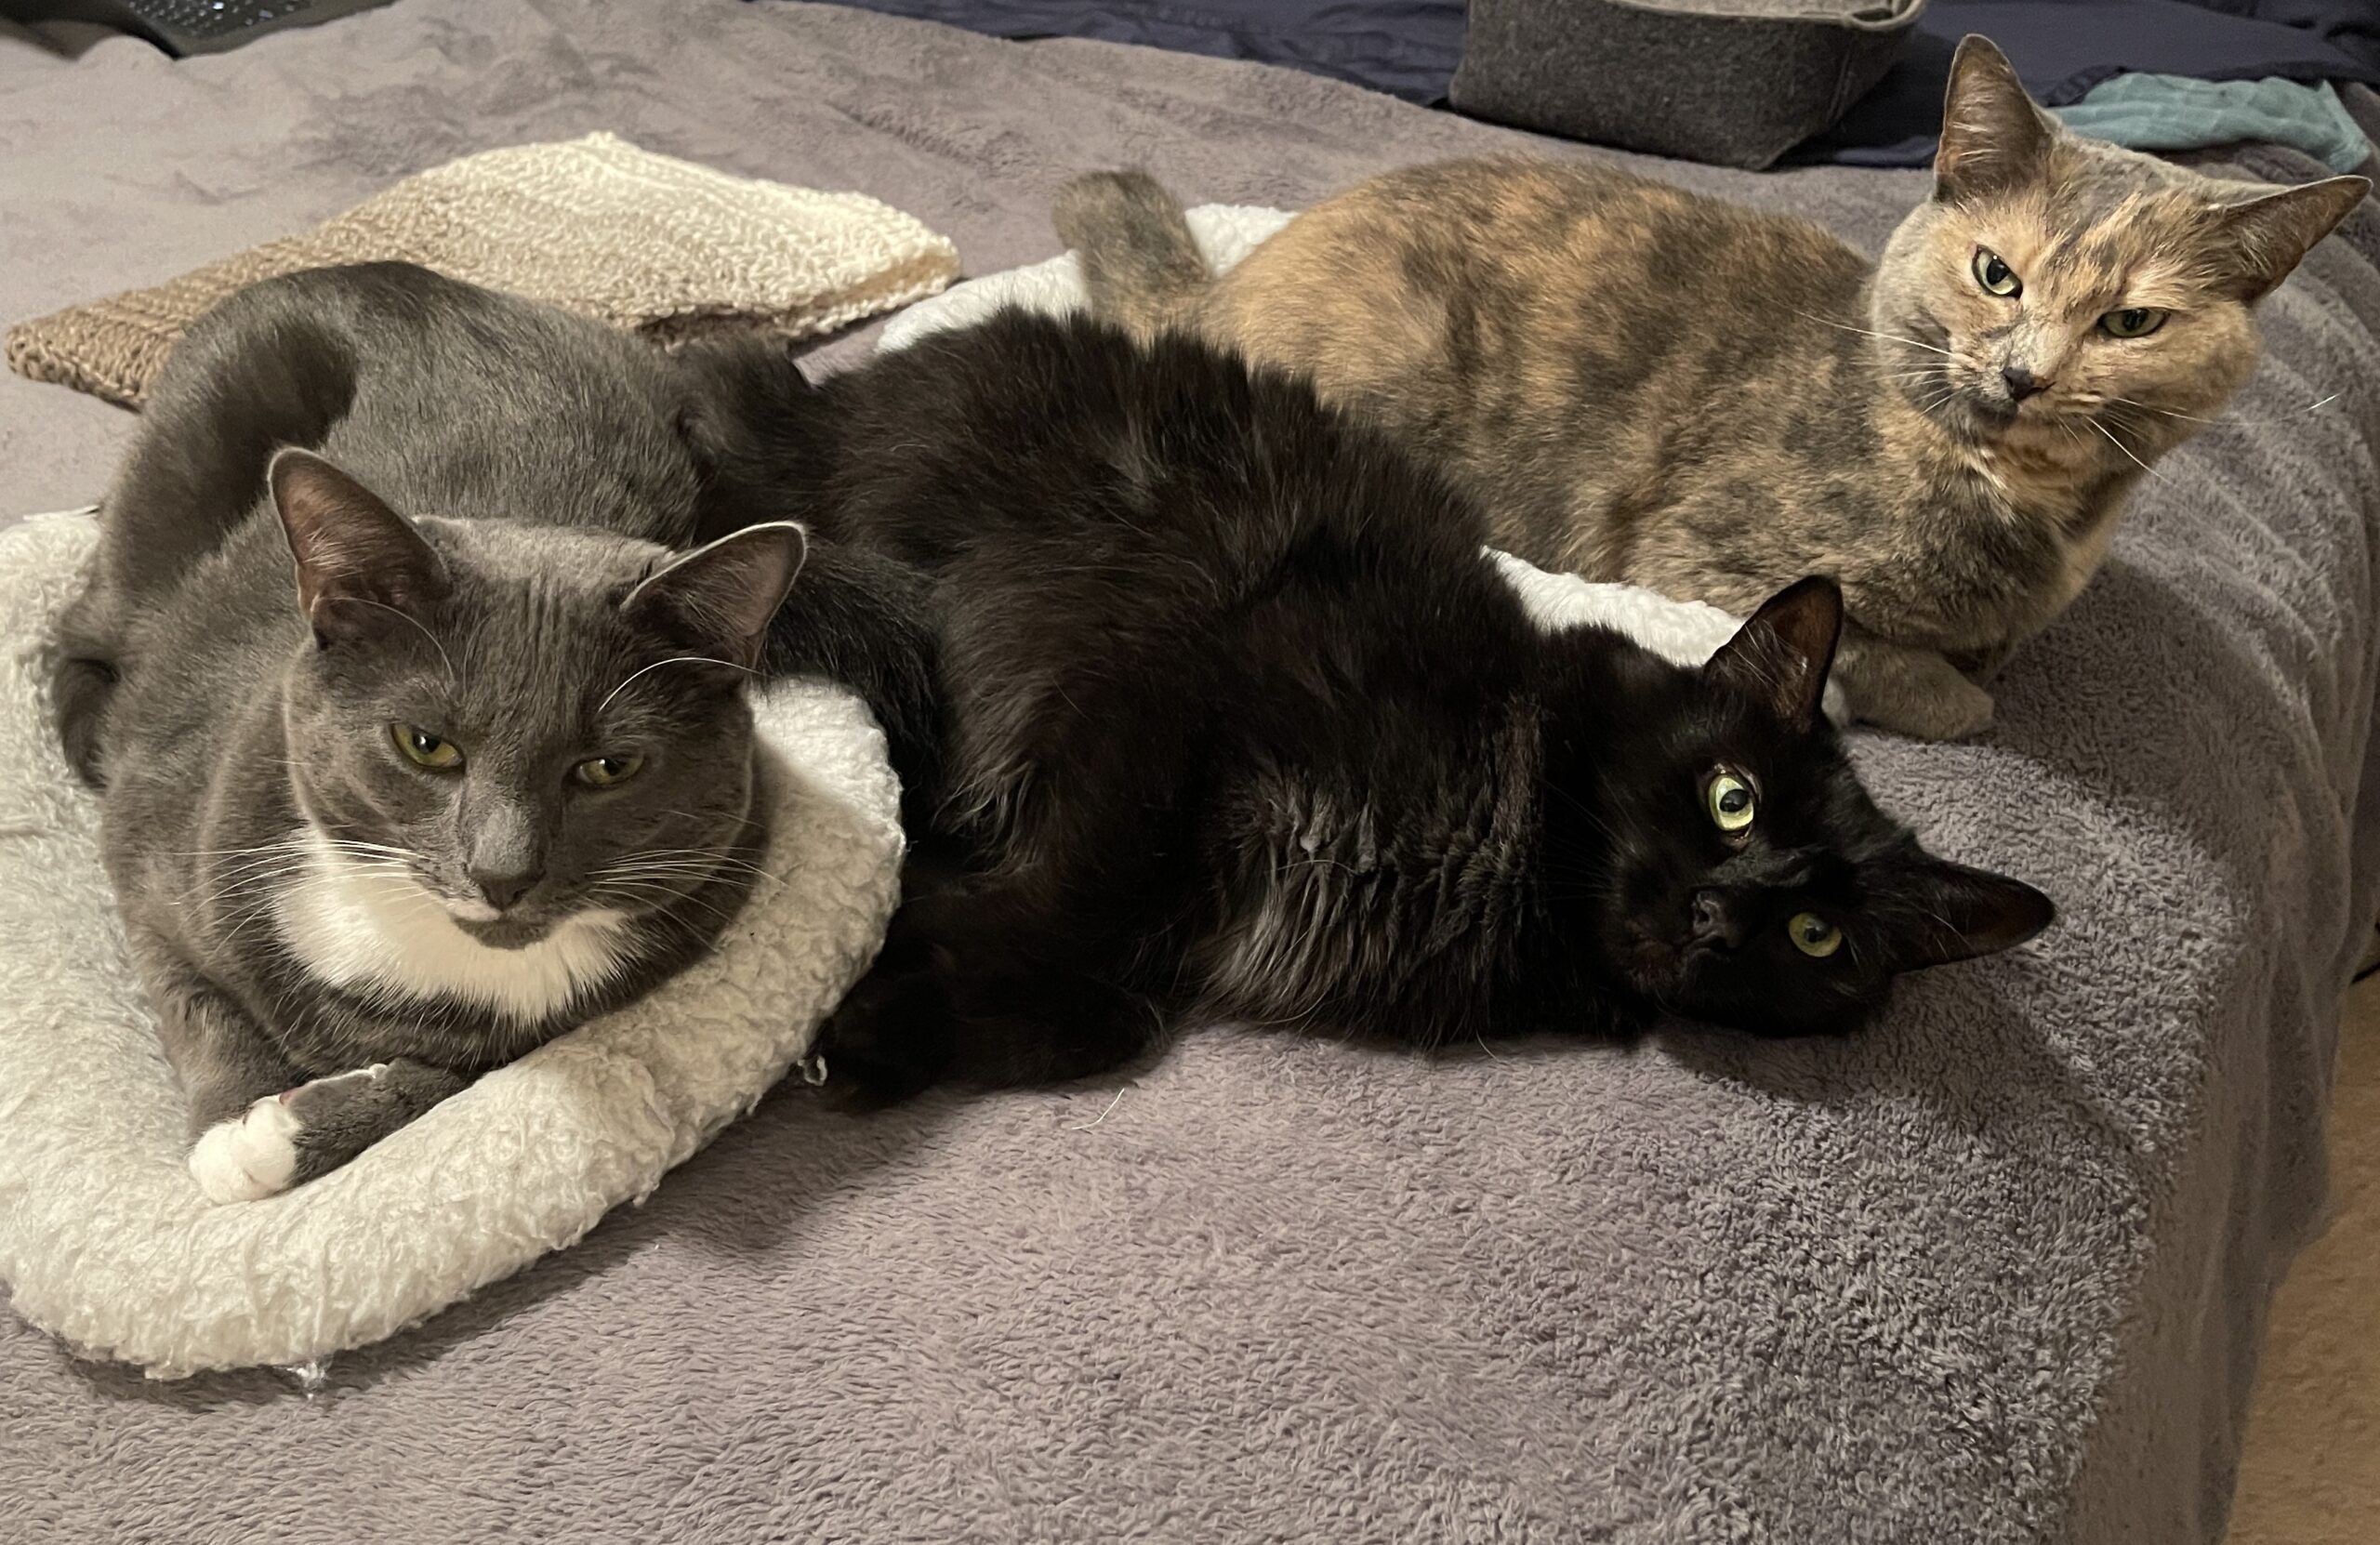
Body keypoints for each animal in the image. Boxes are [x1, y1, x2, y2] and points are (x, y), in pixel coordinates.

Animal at [53, 261, 818, 1204]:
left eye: (609, 766)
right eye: (427, 745)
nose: (502, 873)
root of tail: (396, 272)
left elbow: (450, 1080)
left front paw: (303, 1123)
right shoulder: (160, 844)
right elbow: (189, 992)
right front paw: (239, 1127)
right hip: (175, 482)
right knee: (88, 611)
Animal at [694, 307, 2056, 1094]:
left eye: (1818, 938)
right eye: (1733, 798)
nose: (1722, 916)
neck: (1508, 855)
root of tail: (828, 396)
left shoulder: (1162, 920)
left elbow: (1103, 1014)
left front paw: (890, 1021)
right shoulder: (1161, 705)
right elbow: (1065, 911)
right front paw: (887, 965)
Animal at [1061, 34, 2360, 733]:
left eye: (2131, 321)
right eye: (1998, 274)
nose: (2025, 372)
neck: (2037, 509)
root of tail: (1216, 293)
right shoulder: (1707, 559)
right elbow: (1911, 668)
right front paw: (1956, 693)